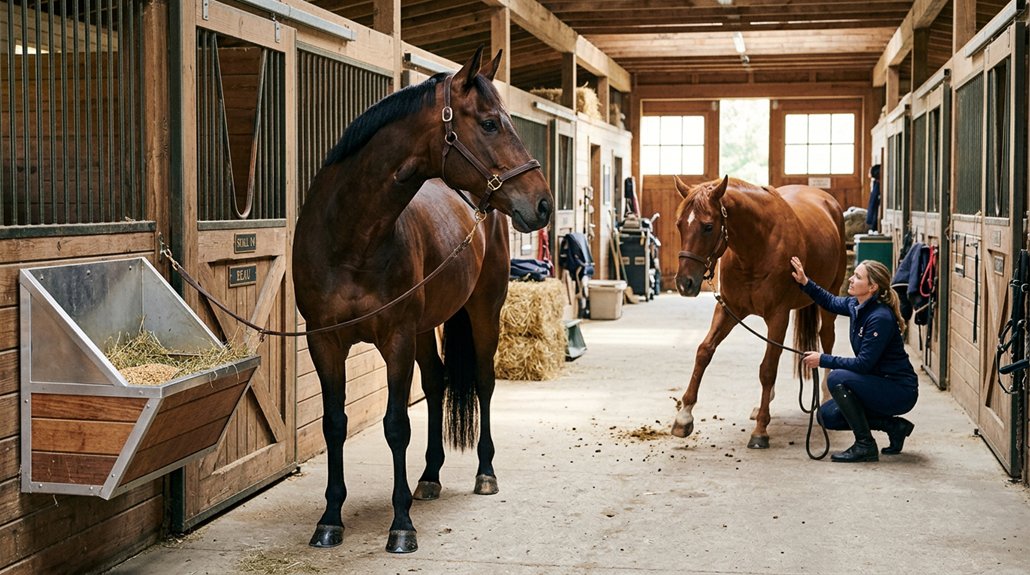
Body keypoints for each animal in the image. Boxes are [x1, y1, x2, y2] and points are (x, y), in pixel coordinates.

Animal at [292, 47, 553, 553]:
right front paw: (330, 519)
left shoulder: (395, 340)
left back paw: (485, 472)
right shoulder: (324, 341)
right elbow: (335, 423)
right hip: (426, 326)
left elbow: (396, 425)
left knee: (484, 382)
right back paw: (429, 476)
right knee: (435, 383)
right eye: (490, 123)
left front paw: (401, 527)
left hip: (483, 310)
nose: (544, 204)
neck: (349, 238)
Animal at [669, 176, 845, 449]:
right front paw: (684, 417)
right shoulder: (729, 309)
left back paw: (825, 397)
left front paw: (761, 429)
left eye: (708, 227)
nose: (684, 283)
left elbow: (768, 369)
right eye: (680, 225)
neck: (757, 246)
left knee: (826, 339)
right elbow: (704, 352)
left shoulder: (778, 316)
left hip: (829, 300)